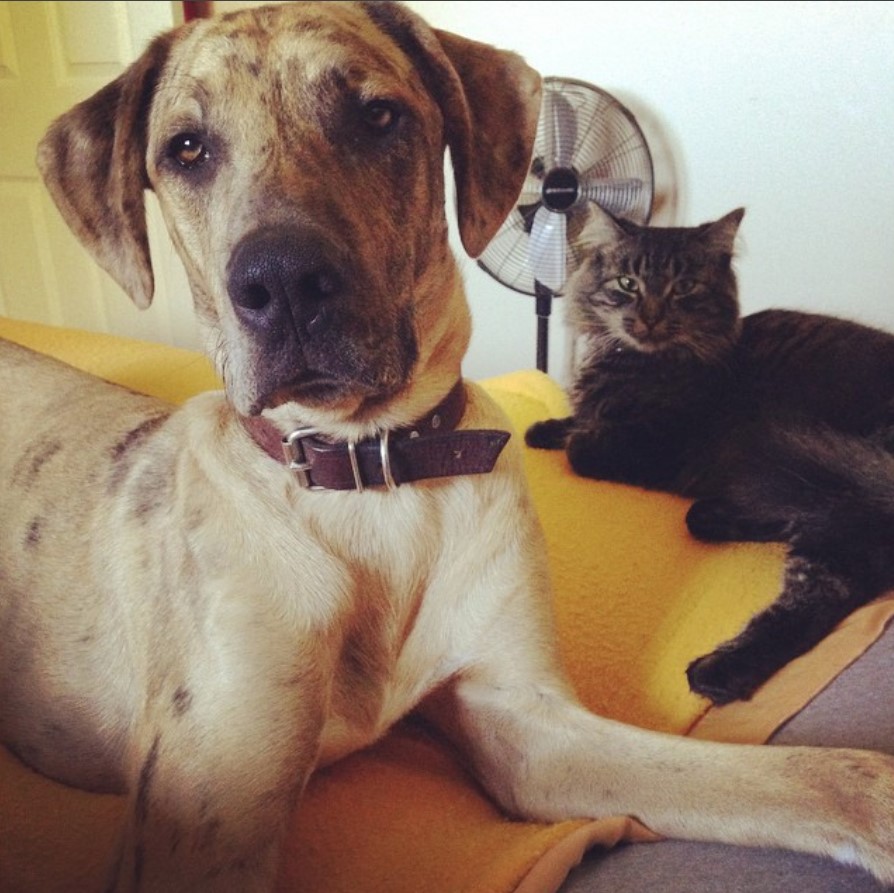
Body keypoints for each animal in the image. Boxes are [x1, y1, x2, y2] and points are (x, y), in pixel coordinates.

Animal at [524, 207, 894, 704]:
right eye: (627, 283)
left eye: (684, 287)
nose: (649, 319)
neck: (638, 359)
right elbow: (575, 418)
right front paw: (543, 428)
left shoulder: (658, 446)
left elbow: (582, 445)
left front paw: (566, 433)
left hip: (838, 503)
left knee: (820, 597)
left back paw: (721, 669)